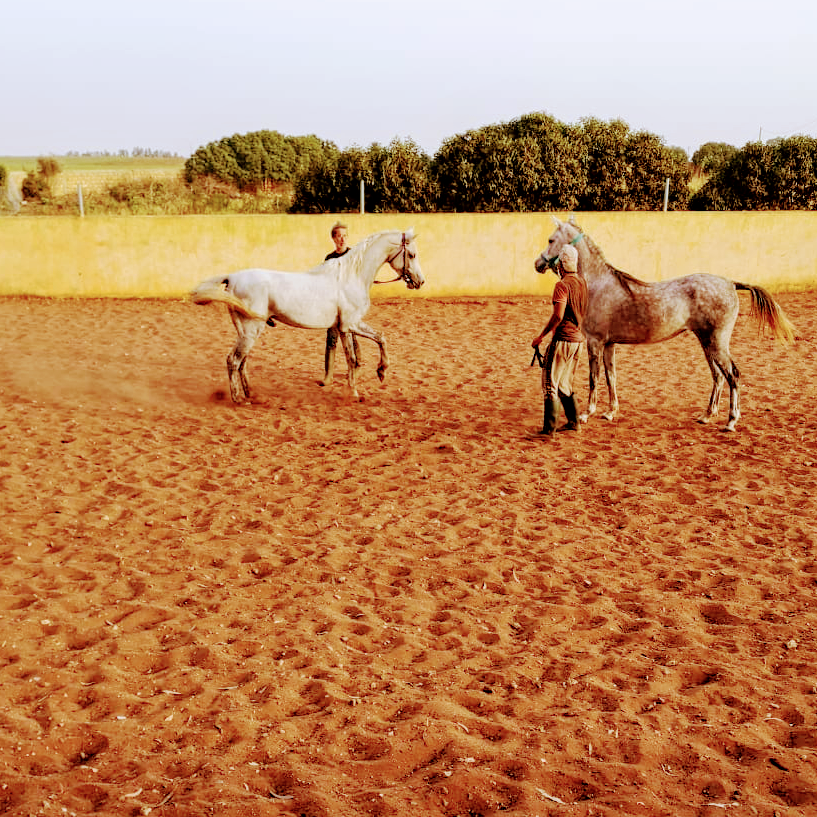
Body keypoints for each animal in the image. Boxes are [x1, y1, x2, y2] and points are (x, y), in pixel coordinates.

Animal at [190, 228, 424, 404]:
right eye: (412, 255)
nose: (420, 281)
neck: (352, 276)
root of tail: (232, 278)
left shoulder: (345, 327)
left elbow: (374, 343)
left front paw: (379, 373)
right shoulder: (350, 324)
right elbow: (355, 356)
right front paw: (358, 391)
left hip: (247, 330)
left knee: (242, 361)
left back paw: (251, 395)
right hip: (250, 329)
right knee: (233, 360)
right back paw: (238, 399)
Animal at [534, 217, 796, 432]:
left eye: (551, 239)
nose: (538, 263)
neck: (598, 284)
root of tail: (730, 283)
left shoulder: (595, 342)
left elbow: (594, 378)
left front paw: (587, 413)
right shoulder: (609, 344)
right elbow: (611, 377)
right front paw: (610, 412)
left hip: (717, 343)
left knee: (733, 375)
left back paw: (730, 421)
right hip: (707, 342)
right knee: (718, 377)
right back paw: (706, 416)